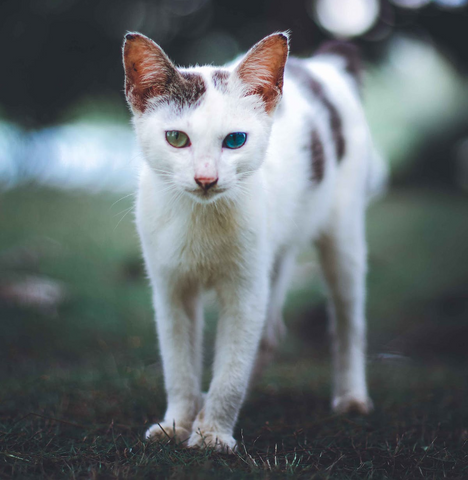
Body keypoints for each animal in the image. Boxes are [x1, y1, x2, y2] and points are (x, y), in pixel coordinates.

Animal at [122, 31, 386, 454]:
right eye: (176, 139)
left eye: (235, 140)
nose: (206, 179)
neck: (201, 219)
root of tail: (323, 64)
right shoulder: (170, 286)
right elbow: (178, 362)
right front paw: (179, 421)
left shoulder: (246, 288)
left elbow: (232, 364)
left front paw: (212, 433)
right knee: (270, 332)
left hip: (342, 233)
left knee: (348, 322)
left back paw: (351, 396)